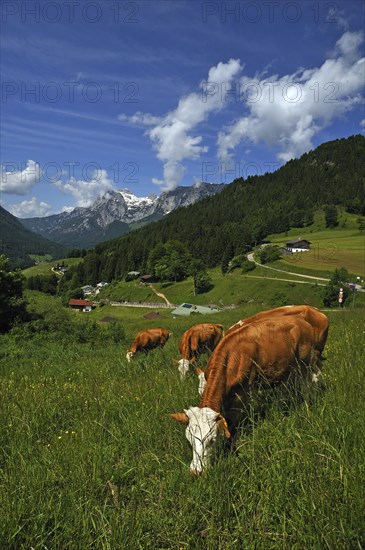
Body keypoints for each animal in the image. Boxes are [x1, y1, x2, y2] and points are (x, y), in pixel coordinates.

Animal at [169, 316, 318, 476]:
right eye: (189, 438)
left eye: (212, 440)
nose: (196, 472)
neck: (231, 358)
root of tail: (300, 320)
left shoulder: (242, 393)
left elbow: (232, 422)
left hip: (306, 362)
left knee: (310, 382)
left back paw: (308, 406)